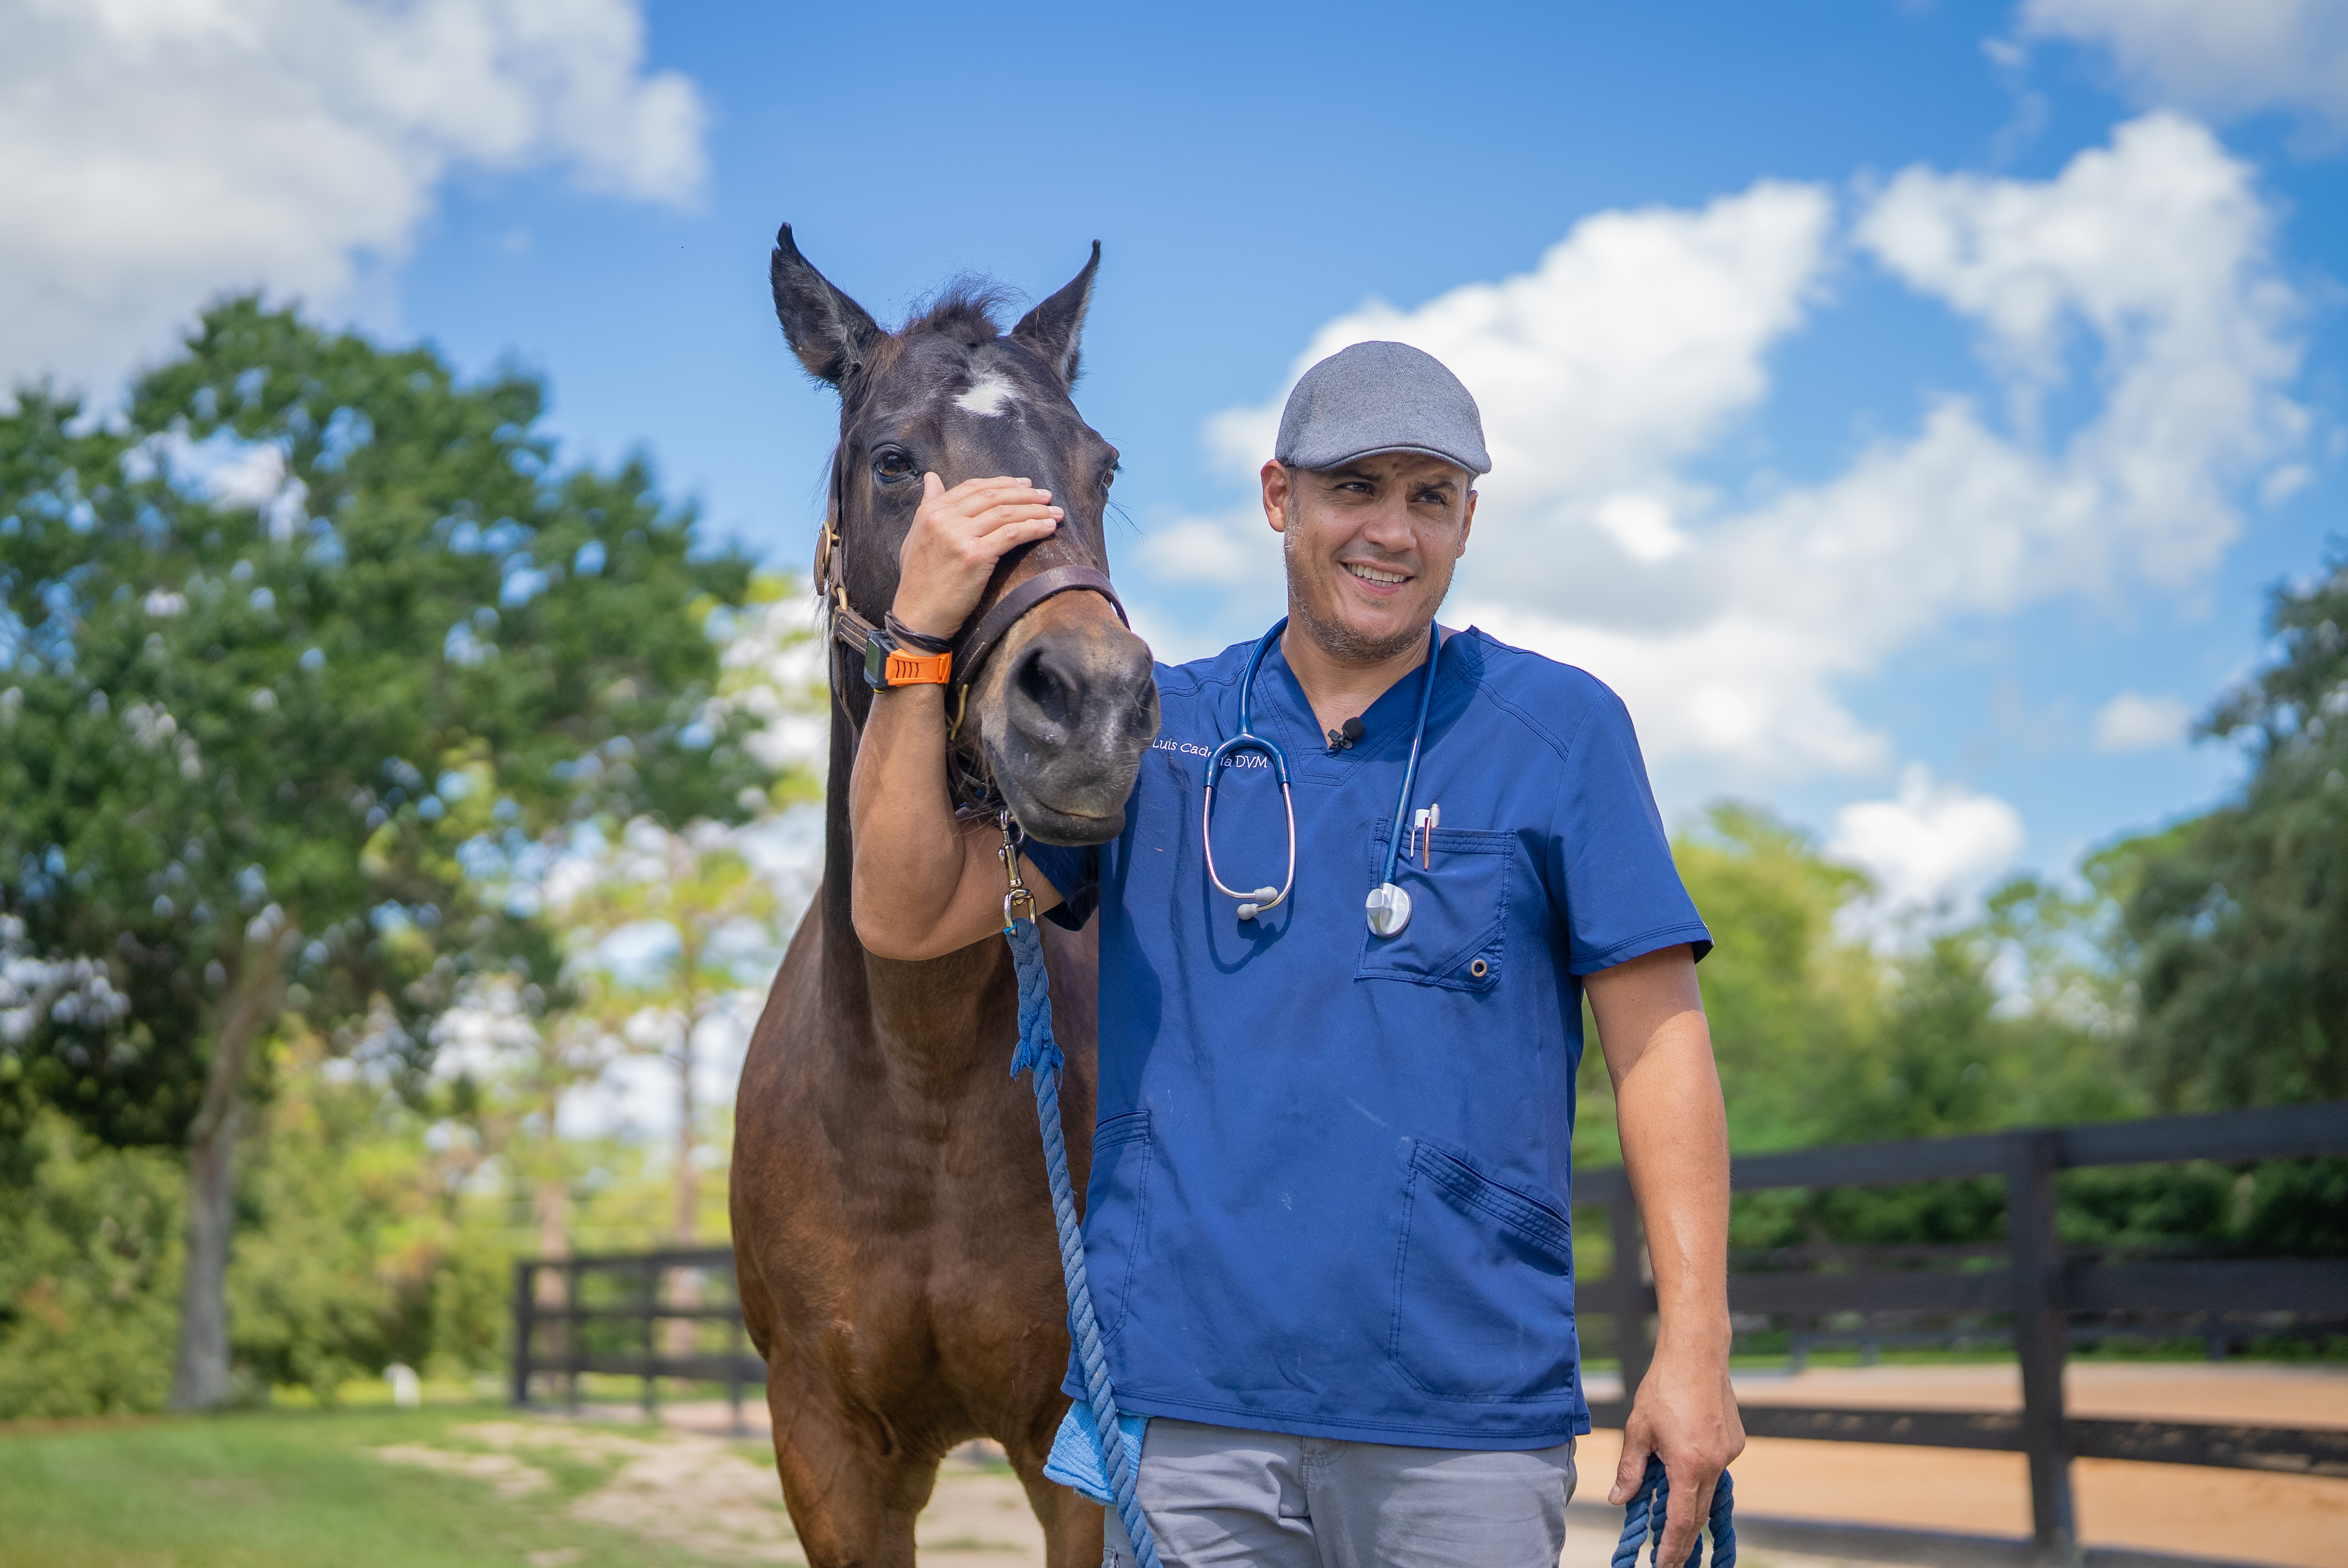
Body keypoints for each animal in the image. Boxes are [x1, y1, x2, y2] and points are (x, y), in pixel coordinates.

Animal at [731, 227, 1159, 1568]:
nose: (1090, 704)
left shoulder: (1082, 1454)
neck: (913, 1089)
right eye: (892, 460)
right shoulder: (828, 1451)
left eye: (1101, 466)